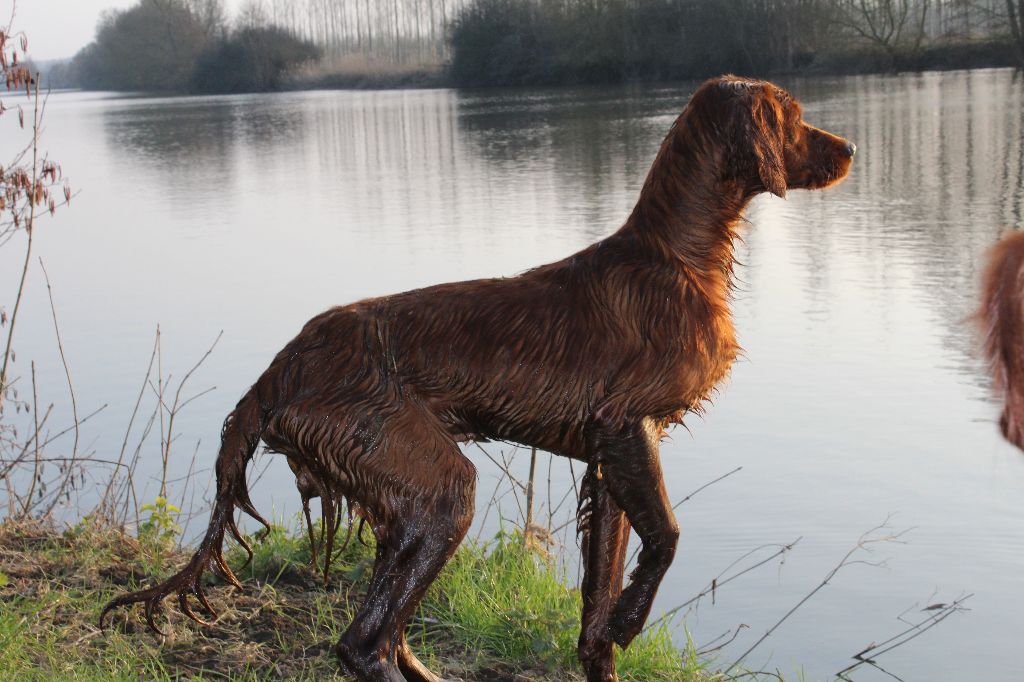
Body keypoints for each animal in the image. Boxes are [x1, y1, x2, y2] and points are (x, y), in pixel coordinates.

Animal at [103, 75, 856, 679]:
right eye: (793, 117)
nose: (850, 149)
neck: (677, 256)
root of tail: (280, 367)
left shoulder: (608, 462)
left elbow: (596, 613)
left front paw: (608, 633)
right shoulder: (625, 427)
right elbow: (667, 538)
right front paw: (631, 619)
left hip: (403, 499)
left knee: (385, 632)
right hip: (439, 486)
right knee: (364, 643)